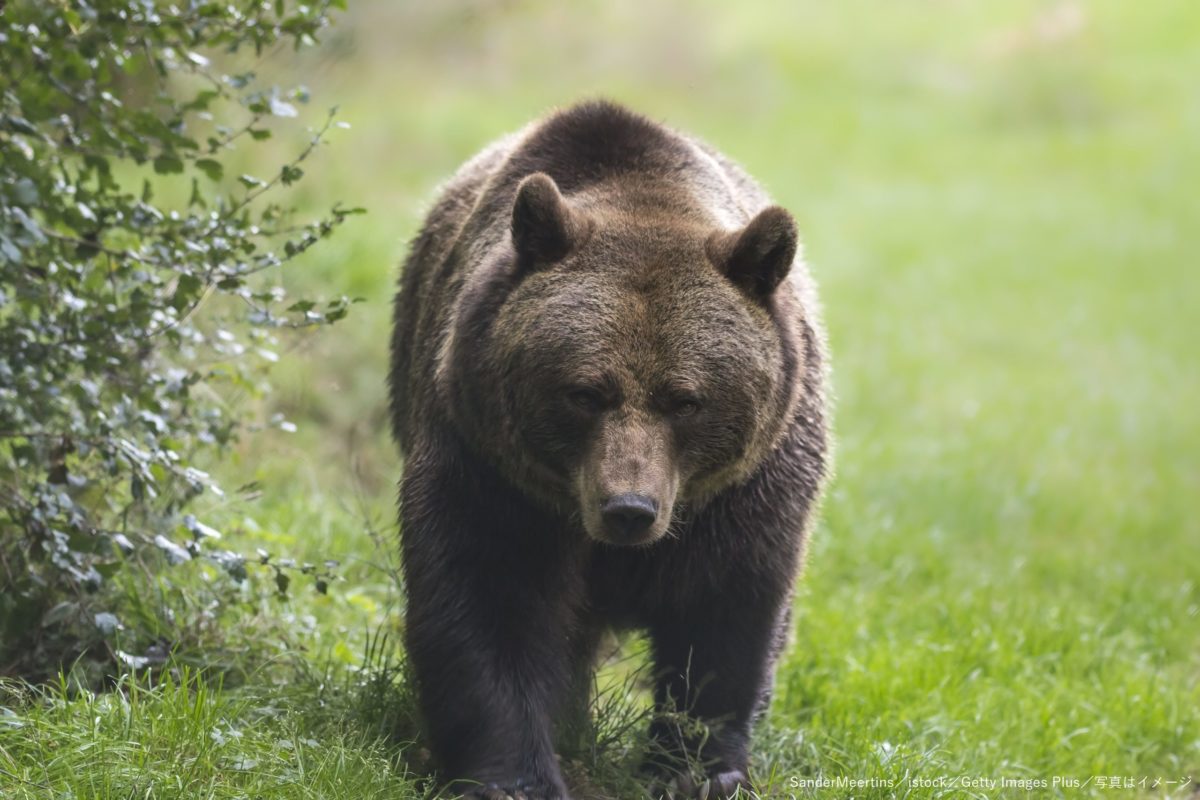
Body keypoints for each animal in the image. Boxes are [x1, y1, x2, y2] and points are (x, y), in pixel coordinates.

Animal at [388, 101, 830, 800]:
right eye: (585, 392)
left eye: (686, 399)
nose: (629, 509)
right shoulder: (489, 467)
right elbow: (491, 600)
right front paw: (514, 775)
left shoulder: (746, 489)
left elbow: (724, 612)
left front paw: (696, 769)